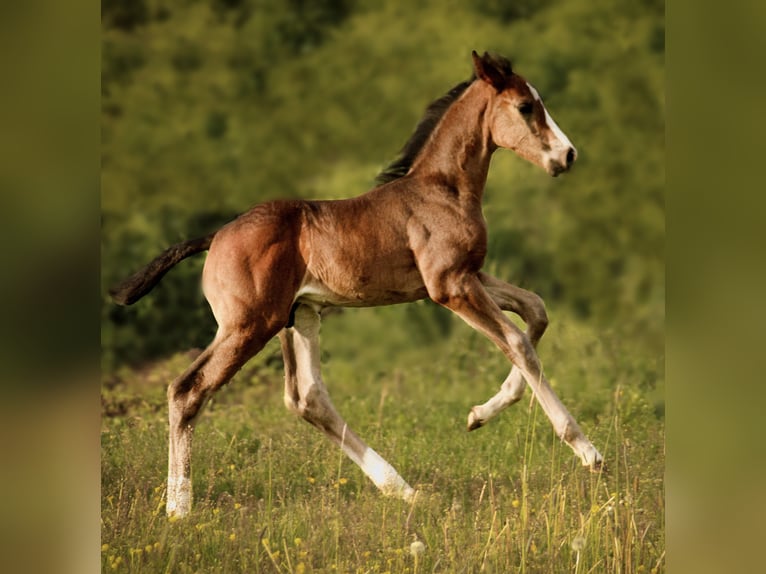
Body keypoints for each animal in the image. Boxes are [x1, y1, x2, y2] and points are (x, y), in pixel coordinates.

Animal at [110, 51, 603, 518]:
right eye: (525, 106)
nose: (567, 155)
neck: (442, 190)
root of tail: (215, 236)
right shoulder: (449, 286)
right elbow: (518, 342)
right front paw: (587, 451)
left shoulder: (469, 275)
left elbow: (536, 311)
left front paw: (478, 415)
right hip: (248, 326)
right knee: (188, 390)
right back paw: (179, 508)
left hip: (298, 317)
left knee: (307, 398)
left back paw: (404, 490)